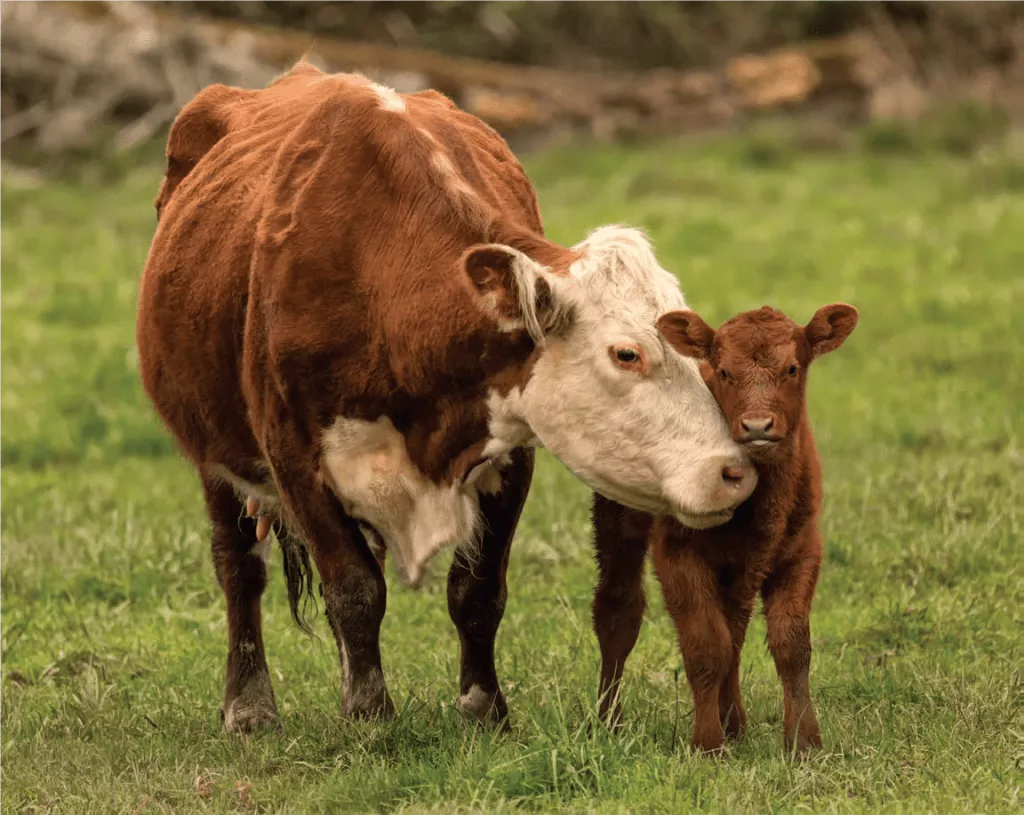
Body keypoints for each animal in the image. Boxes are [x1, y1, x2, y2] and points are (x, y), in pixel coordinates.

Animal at [136, 63, 761, 737]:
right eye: (627, 353)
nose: (733, 471)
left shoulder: (509, 452)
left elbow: (476, 590)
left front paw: (483, 706)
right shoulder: (294, 458)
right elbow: (354, 589)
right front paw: (371, 717)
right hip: (214, 453)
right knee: (239, 568)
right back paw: (249, 703)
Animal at [589, 305, 860, 757]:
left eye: (792, 368)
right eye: (724, 371)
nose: (757, 426)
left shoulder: (802, 550)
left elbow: (790, 646)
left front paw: (804, 741)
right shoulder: (678, 553)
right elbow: (705, 646)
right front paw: (707, 744)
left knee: (734, 629)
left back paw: (735, 723)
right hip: (618, 517)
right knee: (618, 611)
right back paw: (608, 721)